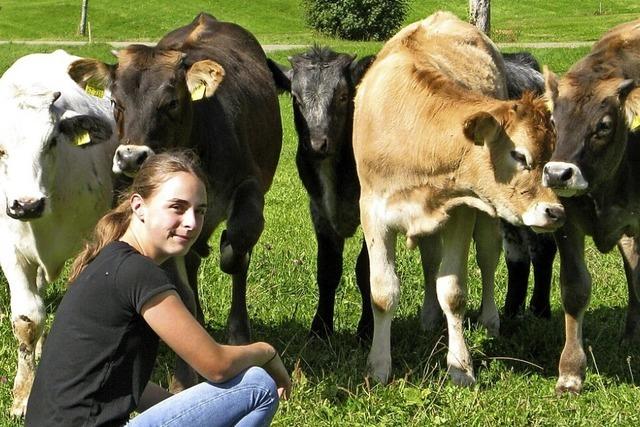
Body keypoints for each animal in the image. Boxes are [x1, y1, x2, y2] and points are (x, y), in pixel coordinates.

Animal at [0, 51, 119, 418]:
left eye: (52, 141)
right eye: (0, 149)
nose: (26, 204)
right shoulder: (10, 252)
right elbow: (28, 318)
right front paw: (22, 396)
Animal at [67, 11, 282, 390]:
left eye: (170, 103)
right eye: (115, 102)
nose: (130, 157)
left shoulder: (251, 183)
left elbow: (238, 245)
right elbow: (180, 290)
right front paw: (184, 378)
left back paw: (238, 330)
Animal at [544, 19, 640, 394]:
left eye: (603, 126)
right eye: (554, 122)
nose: (558, 173)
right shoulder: (567, 222)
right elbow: (575, 289)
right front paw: (571, 371)